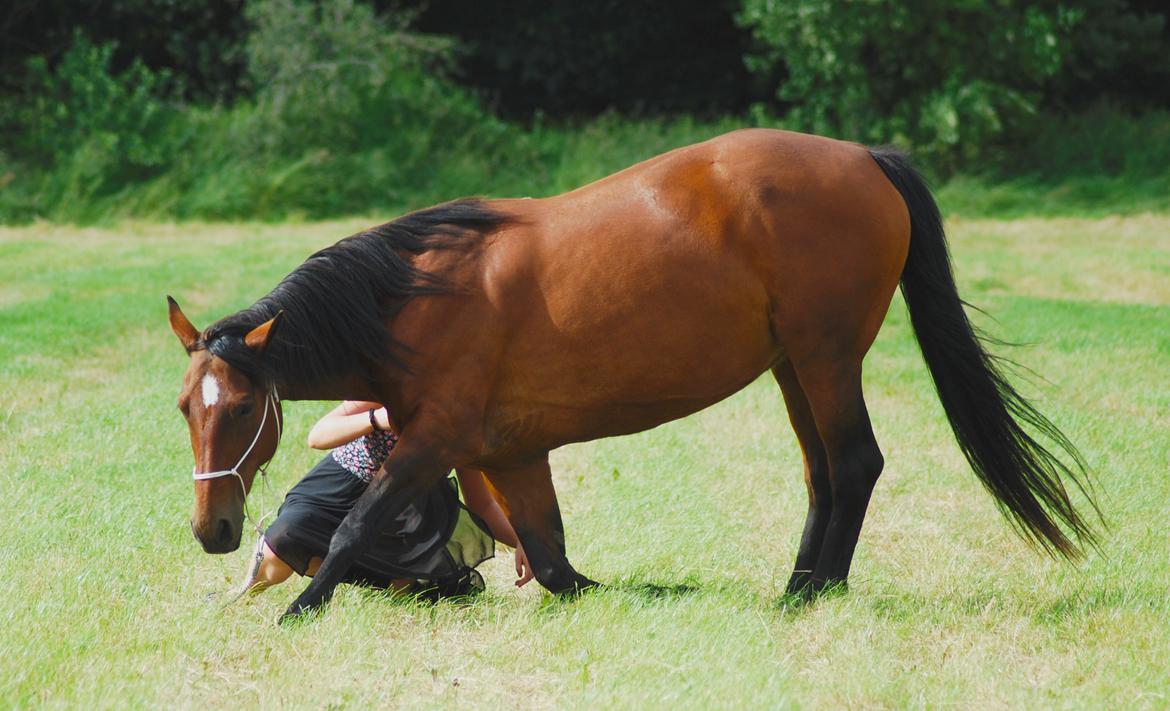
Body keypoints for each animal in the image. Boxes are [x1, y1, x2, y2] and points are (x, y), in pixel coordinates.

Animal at [169, 129, 1099, 622]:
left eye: (243, 405)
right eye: (186, 405)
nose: (214, 529)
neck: (412, 297)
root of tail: (864, 157)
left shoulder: (432, 442)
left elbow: (358, 527)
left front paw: (297, 611)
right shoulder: (509, 455)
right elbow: (553, 562)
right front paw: (649, 587)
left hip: (827, 357)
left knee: (856, 463)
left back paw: (814, 591)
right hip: (794, 368)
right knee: (825, 473)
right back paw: (801, 581)